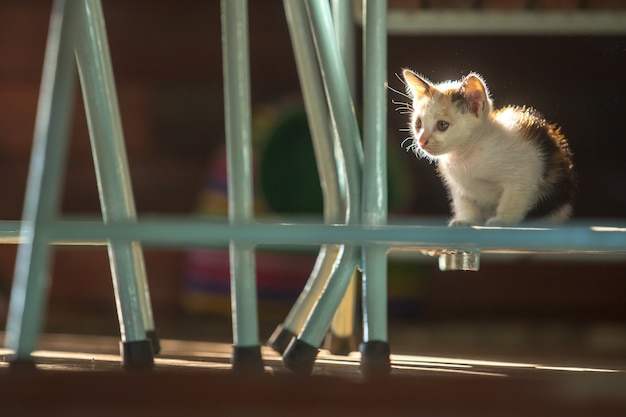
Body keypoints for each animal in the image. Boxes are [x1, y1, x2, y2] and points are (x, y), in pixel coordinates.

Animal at [400, 70, 572, 228]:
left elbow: (513, 198)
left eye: (442, 125)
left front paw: (503, 220)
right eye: (418, 124)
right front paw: (465, 220)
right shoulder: (458, 187)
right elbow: (465, 203)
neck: (466, 155)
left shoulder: (526, 172)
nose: (422, 141)